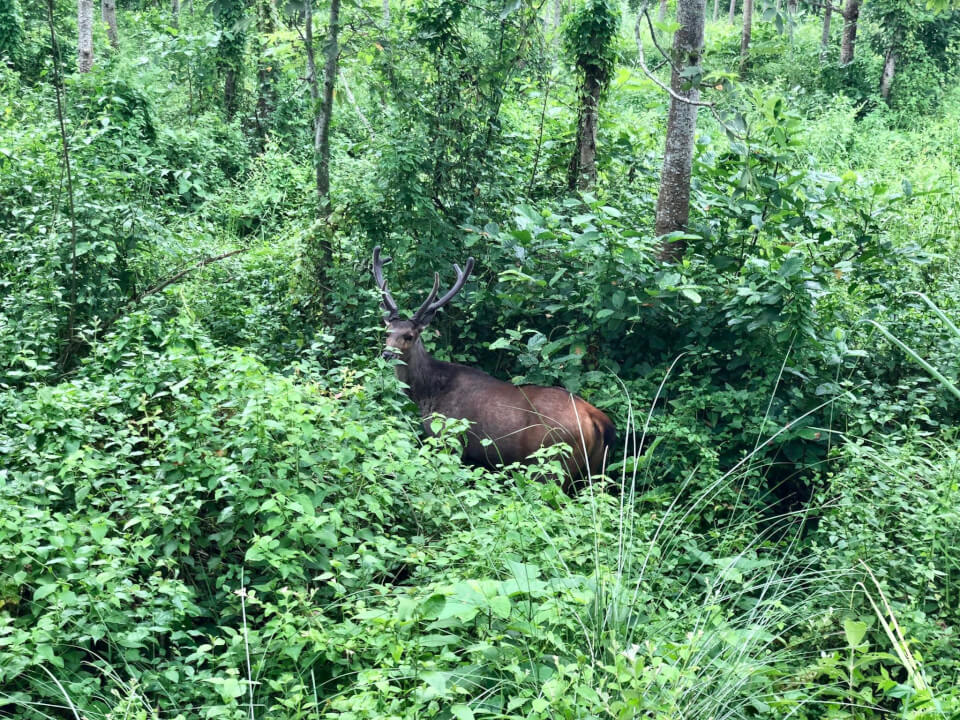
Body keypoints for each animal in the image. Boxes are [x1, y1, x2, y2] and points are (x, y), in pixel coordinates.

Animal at [372, 248, 612, 490]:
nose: (387, 354)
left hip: (552, 460)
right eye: (387, 332)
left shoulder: (449, 438)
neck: (427, 394)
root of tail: (597, 419)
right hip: (594, 468)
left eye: (409, 335)